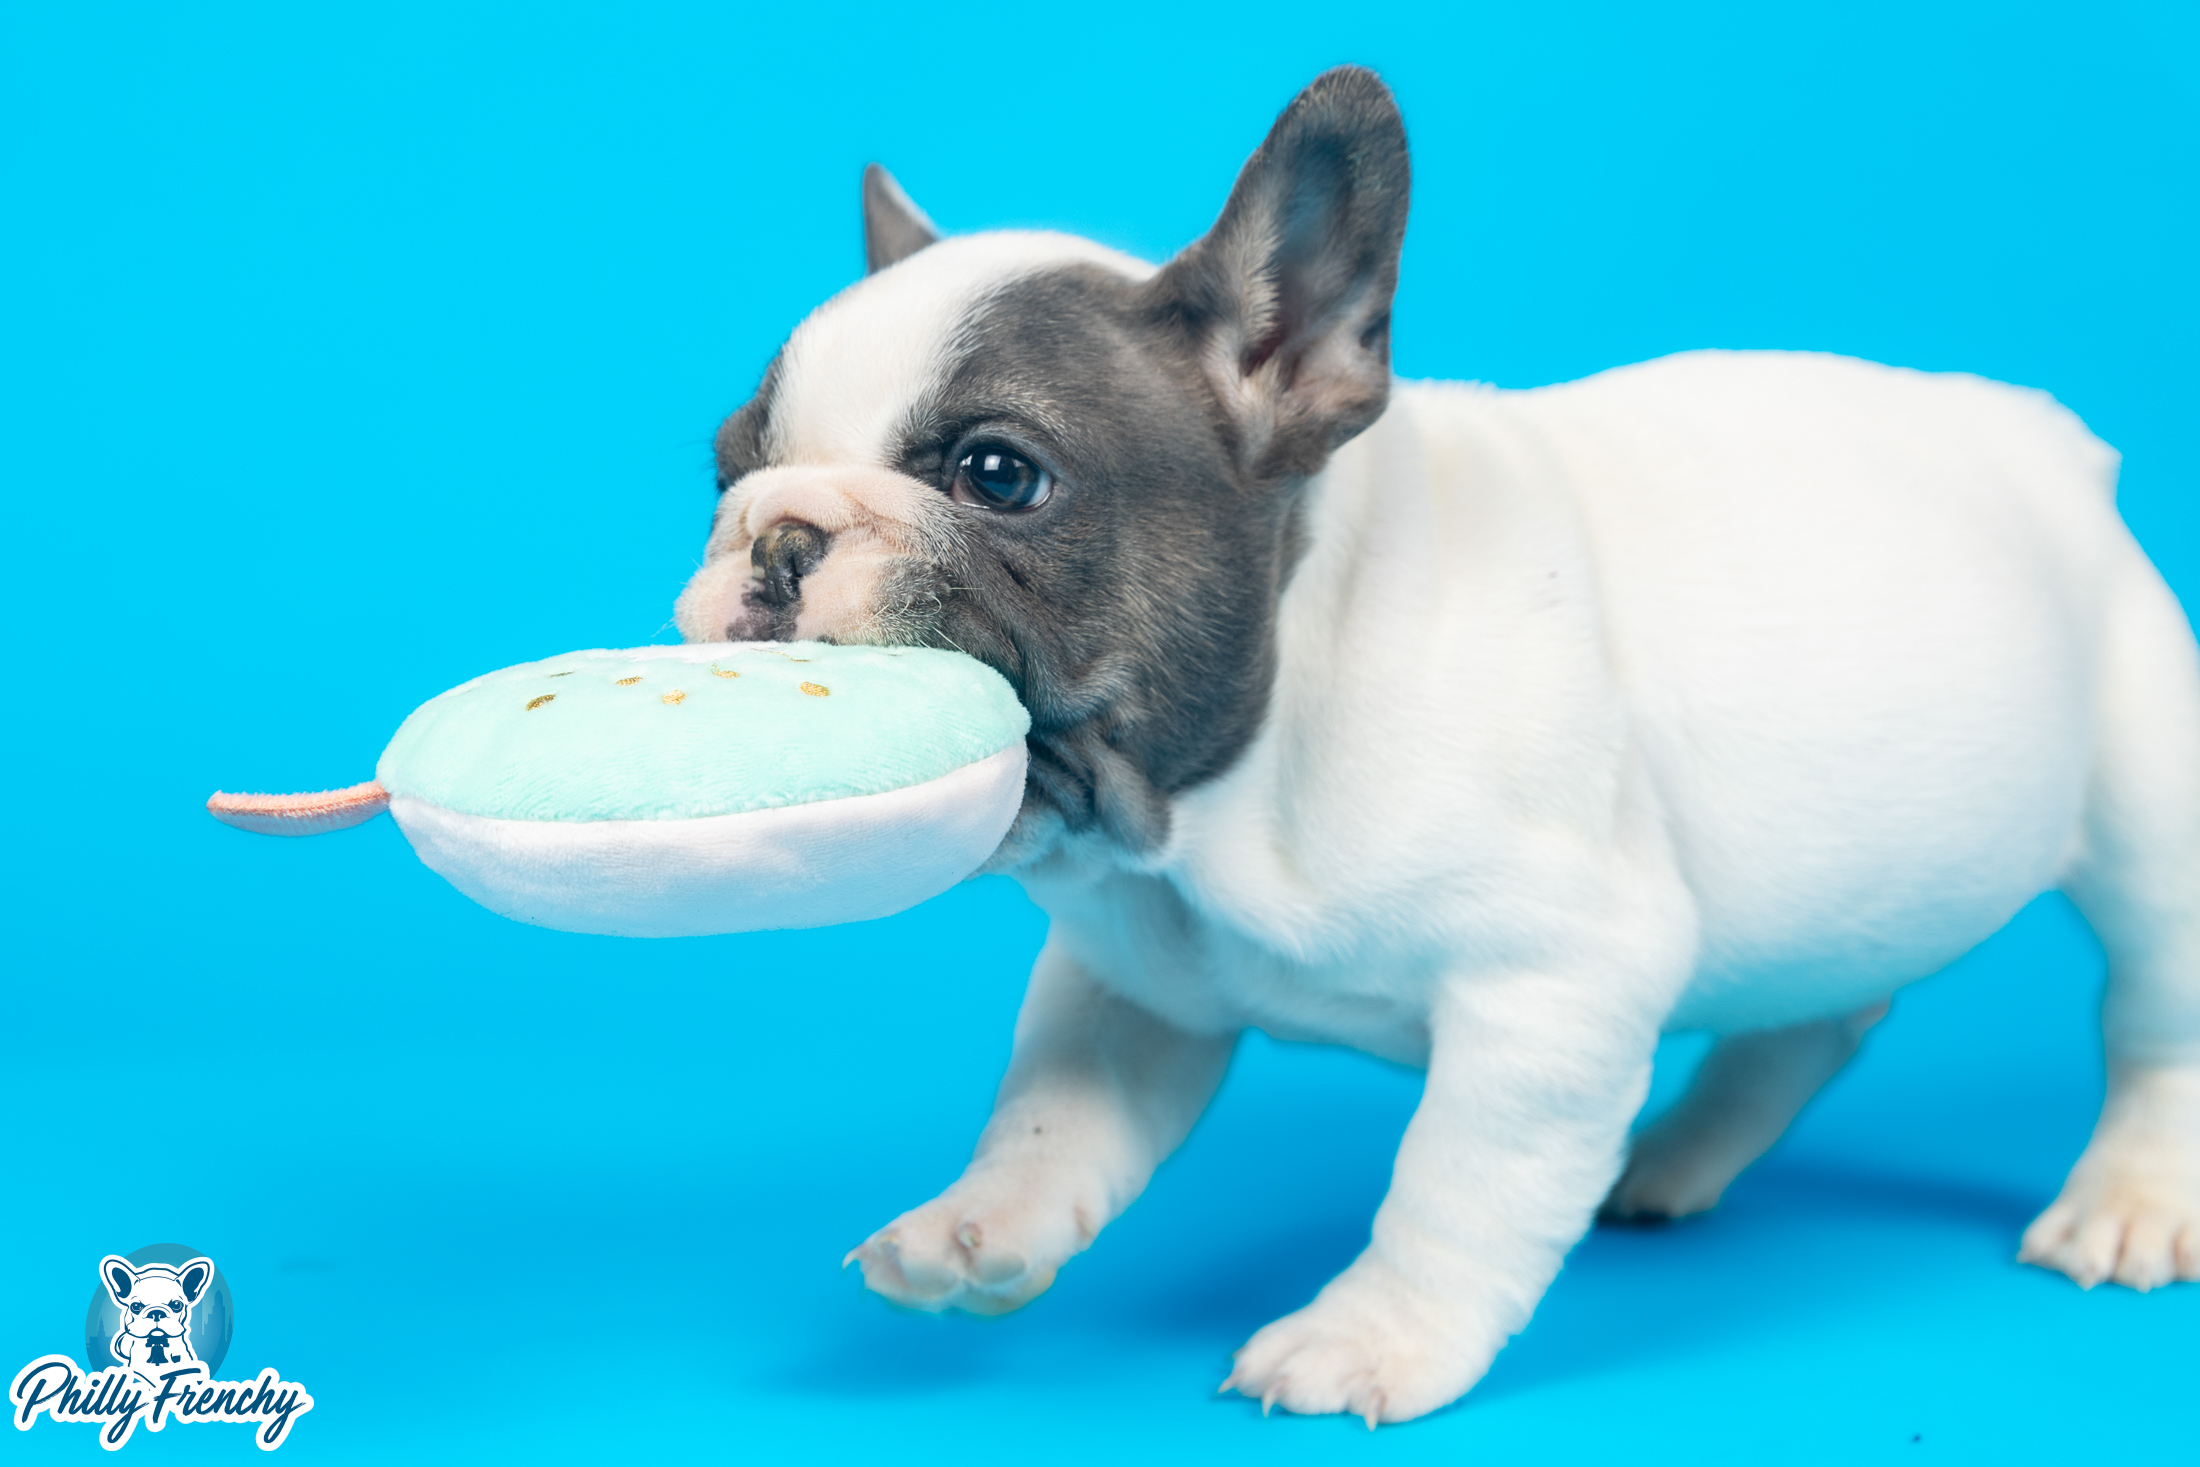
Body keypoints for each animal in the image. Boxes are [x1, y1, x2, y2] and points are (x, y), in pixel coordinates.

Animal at [668, 68, 2200, 1425]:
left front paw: (1369, 1338)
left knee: (2153, 1014)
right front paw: (978, 1224)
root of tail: (2049, 447)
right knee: (1817, 1011)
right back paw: (1674, 1155)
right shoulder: (1132, 978)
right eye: (728, 469)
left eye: (997, 475)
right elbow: (1055, 1114)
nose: (778, 535)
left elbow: (1454, 1186)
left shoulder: (1552, 987)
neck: (1222, 804)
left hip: (2147, 812)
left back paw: (2130, 1197)